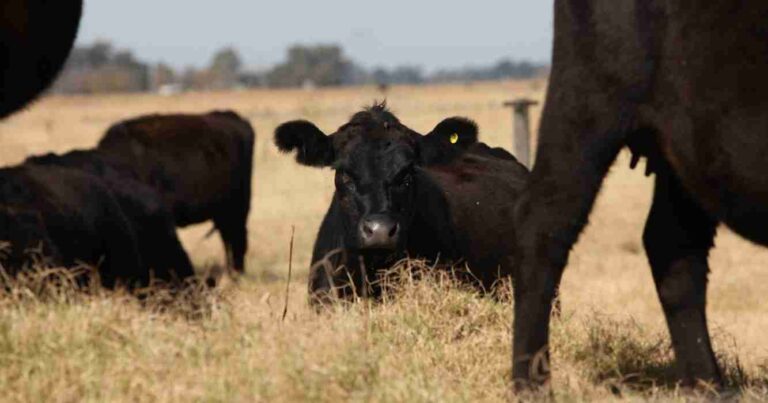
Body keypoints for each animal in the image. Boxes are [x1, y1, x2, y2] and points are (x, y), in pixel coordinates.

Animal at [512, 0, 768, 392]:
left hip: (683, 156)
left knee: (673, 247)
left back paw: (708, 385)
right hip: (587, 106)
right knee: (544, 225)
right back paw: (530, 384)